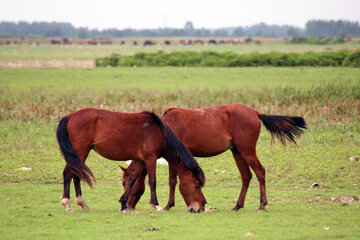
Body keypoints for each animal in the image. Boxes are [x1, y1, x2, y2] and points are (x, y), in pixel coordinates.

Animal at [57, 108, 207, 213]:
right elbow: (152, 182)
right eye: (196, 186)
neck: (158, 132)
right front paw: (157, 205)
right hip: (80, 151)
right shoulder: (150, 158)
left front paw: (124, 205)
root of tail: (70, 116)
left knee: (75, 174)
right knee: (69, 173)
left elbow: (132, 180)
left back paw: (82, 204)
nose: (201, 207)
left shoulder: (140, 160)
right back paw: (68, 204)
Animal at [121, 104, 306, 211]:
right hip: (237, 152)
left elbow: (172, 181)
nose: (127, 205)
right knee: (246, 176)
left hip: (247, 151)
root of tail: (255, 112)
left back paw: (262, 204)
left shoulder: (174, 157)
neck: (162, 127)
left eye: (124, 183)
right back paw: (238, 205)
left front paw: (167, 205)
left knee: (260, 172)